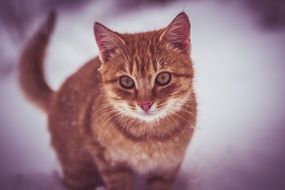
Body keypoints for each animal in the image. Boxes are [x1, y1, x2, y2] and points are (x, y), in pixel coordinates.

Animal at [18, 10, 195, 190]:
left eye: (163, 78)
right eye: (126, 81)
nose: (145, 104)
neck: (149, 138)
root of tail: (55, 95)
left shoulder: (167, 168)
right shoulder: (110, 163)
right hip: (78, 170)